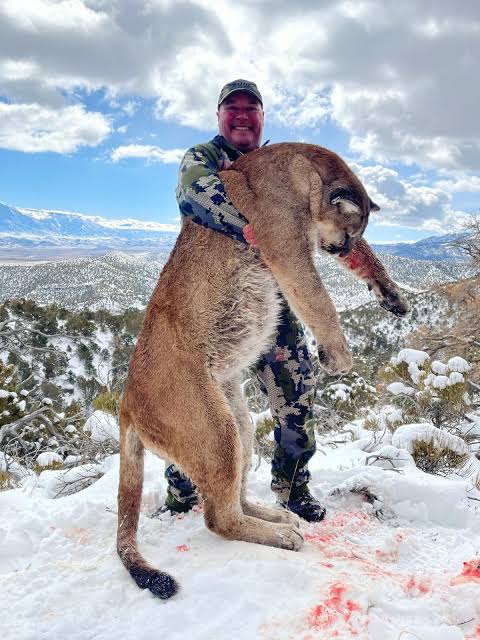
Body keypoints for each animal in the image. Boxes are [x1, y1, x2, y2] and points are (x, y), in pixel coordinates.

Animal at [116, 143, 409, 599]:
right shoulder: (286, 250)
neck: (301, 173)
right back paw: (282, 534)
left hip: (237, 420)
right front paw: (338, 355)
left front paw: (390, 293)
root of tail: (126, 399)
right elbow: (319, 301)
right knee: (216, 517)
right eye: (349, 230)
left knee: (231, 493)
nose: (341, 249)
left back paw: (275, 515)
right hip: (212, 429)